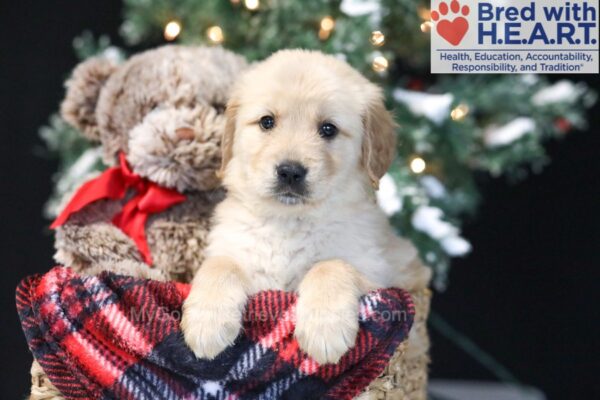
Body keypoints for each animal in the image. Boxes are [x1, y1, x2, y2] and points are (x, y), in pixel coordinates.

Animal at [183, 49, 432, 362]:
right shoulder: (237, 253)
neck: (290, 223)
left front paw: (324, 329)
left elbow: (330, 265)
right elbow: (219, 265)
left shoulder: (381, 278)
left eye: (328, 129)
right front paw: (207, 322)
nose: (290, 172)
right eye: (267, 122)